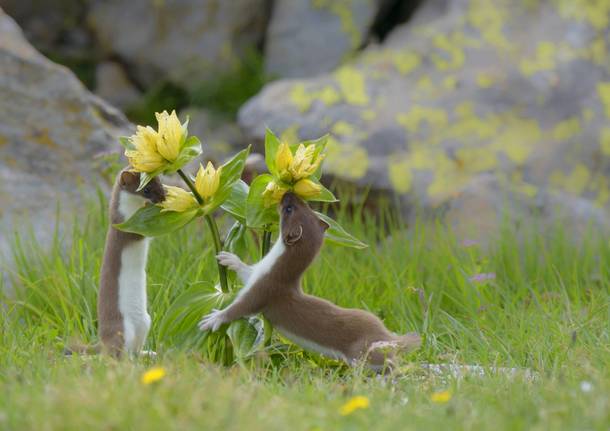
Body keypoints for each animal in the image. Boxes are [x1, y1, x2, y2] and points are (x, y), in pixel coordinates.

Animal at [95, 169, 164, 358]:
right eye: (146, 189)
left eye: (160, 182)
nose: (163, 197)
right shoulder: (125, 226)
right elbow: (140, 233)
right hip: (122, 328)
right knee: (117, 352)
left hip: (145, 321)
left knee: (136, 348)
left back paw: (148, 353)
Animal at [198, 193, 418, 372]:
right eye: (308, 206)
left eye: (289, 208)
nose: (288, 192)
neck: (270, 265)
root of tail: (387, 335)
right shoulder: (256, 274)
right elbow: (245, 270)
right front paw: (228, 258)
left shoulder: (265, 289)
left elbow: (241, 307)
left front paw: (212, 319)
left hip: (364, 351)